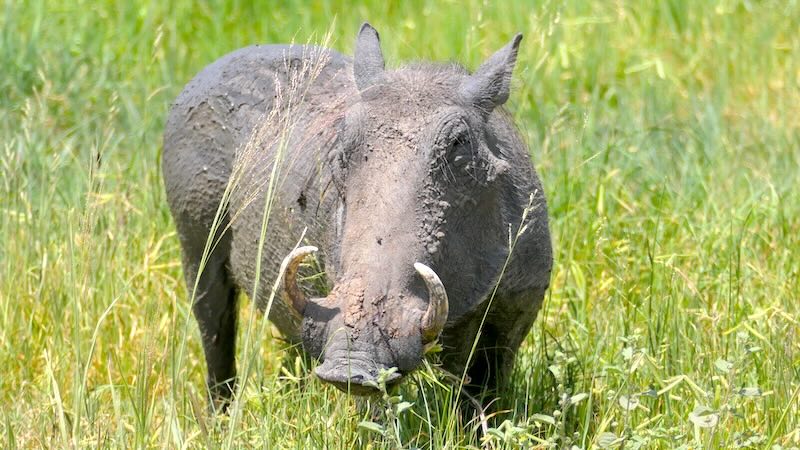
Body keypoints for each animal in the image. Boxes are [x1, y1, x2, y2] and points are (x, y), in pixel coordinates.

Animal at [162, 23, 552, 408]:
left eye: (458, 142)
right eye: (344, 142)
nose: (353, 362)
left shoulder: (516, 312)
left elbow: (482, 400)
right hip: (196, 248)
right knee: (215, 339)